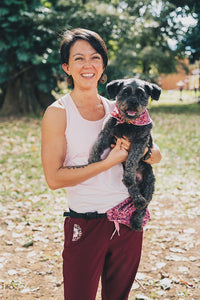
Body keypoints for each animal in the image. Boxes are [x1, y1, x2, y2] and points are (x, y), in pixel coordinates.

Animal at [88, 77, 162, 230]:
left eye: (141, 94)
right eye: (125, 92)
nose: (133, 102)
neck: (128, 123)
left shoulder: (141, 142)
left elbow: (132, 159)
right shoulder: (107, 133)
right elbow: (97, 145)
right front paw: (93, 160)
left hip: (149, 182)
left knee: (143, 206)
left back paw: (137, 219)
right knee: (132, 188)